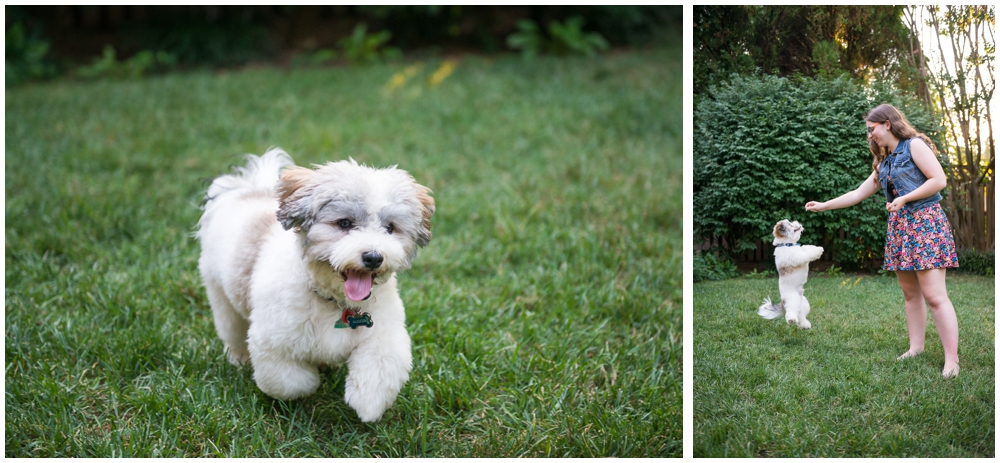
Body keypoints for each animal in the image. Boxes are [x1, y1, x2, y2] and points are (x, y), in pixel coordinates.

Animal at [195, 149, 434, 424]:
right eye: (344, 223)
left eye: (390, 228)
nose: (374, 257)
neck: (334, 301)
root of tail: (247, 189)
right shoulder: (273, 344)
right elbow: (292, 383)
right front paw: (312, 382)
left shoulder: (384, 333)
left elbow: (380, 367)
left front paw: (367, 404)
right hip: (222, 299)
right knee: (232, 331)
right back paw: (239, 358)